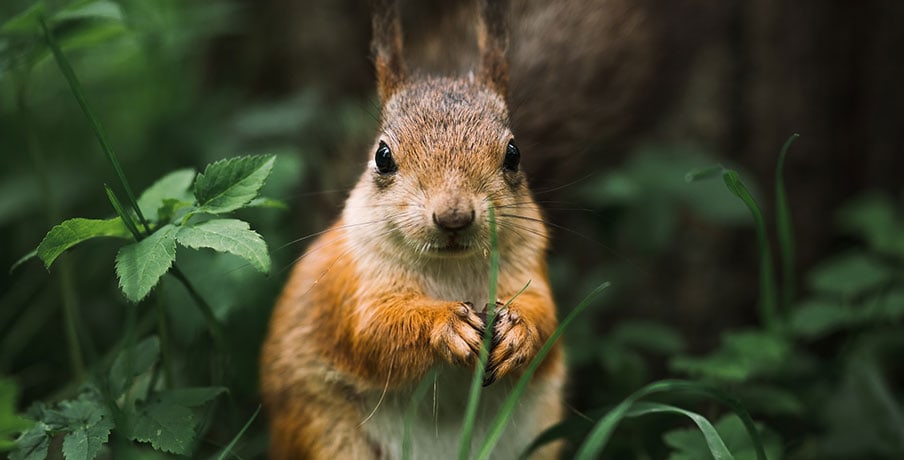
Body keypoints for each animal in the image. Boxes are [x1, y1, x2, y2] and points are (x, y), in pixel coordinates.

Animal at [258, 0, 560, 456]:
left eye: (513, 153)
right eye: (382, 156)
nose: (453, 217)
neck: (450, 269)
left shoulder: (529, 264)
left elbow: (547, 317)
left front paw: (518, 331)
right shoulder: (354, 286)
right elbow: (374, 331)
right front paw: (447, 325)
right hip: (324, 433)